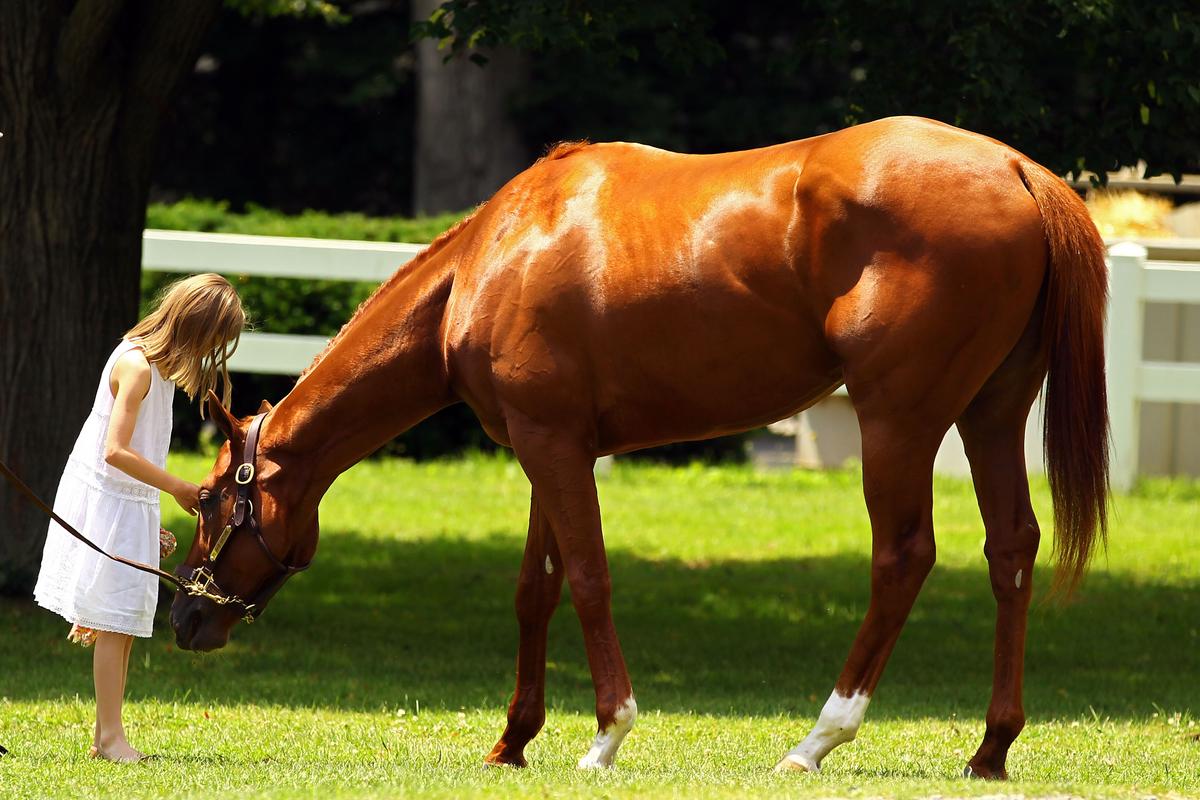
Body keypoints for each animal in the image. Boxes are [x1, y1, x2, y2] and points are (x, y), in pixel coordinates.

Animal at [169, 115, 1109, 779]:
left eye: (212, 500)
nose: (184, 619)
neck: (493, 254)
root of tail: (1016, 169)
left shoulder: (552, 447)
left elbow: (588, 578)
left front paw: (606, 735)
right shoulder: (548, 448)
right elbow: (536, 590)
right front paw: (513, 739)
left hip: (898, 420)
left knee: (903, 557)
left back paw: (817, 739)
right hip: (991, 413)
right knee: (1010, 550)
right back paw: (991, 747)